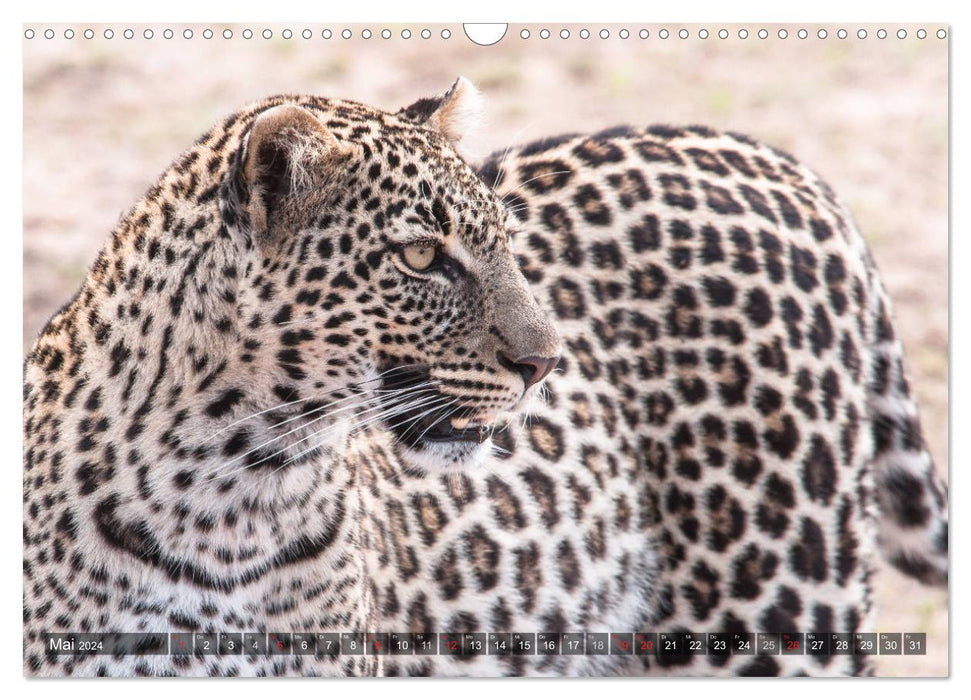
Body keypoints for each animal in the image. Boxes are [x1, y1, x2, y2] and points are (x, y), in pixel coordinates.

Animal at [24, 78, 948, 680]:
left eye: (505, 241)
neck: (234, 497)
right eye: (420, 256)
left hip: (781, 621)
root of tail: (777, 163)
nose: (545, 362)